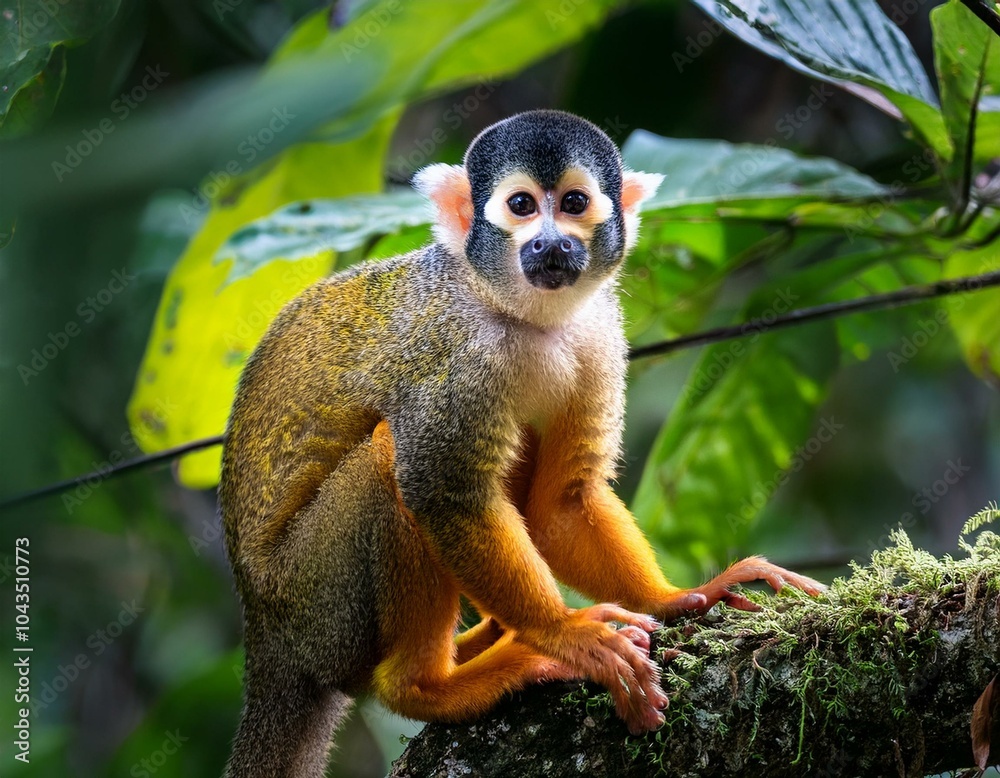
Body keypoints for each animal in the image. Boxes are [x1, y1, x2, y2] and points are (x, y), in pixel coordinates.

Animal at [219, 110, 824, 778]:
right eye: (521, 206)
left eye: (575, 203)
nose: (552, 243)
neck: (519, 312)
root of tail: (267, 638)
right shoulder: (459, 356)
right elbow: (442, 493)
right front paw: (569, 635)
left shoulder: (598, 332)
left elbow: (559, 504)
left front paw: (677, 598)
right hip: (318, 598)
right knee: (388, 460)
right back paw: (430, 684)